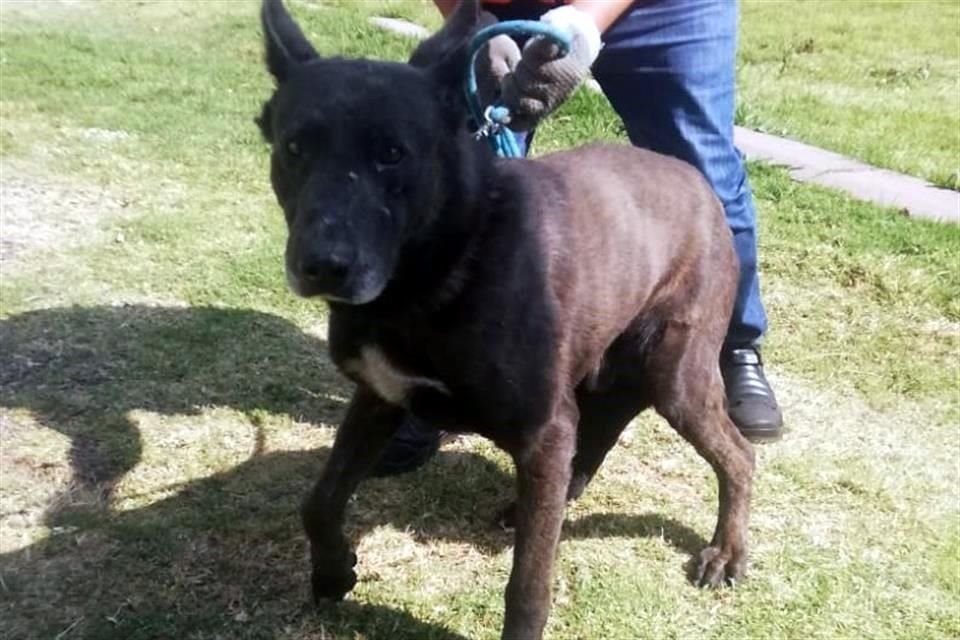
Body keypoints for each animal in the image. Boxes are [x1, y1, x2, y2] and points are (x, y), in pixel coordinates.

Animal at [258, 1, 752, 636]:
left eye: (392, 153)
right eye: (296, 148)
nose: (323, 265)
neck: (446, 258)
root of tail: (699, 183)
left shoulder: (544, 430)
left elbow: (528, 584)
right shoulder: (380, 397)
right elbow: (318, 502)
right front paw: (333, 571)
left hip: (677, 375)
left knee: (738, 455)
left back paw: (726, 552)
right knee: (600, 429)